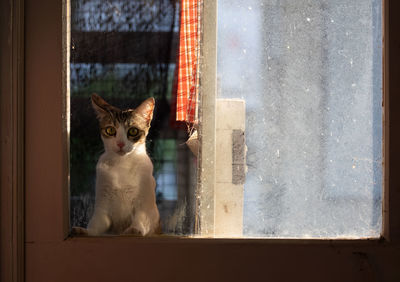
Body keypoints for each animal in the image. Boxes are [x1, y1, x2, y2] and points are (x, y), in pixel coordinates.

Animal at [72, 94, 160, 236]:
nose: (120, 144)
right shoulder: (102, 206)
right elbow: (96, 225)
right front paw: (84, 231)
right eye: (110, 130)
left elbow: (141, 220)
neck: (122, 165)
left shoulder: (146, 207)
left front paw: (133, 230)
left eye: (133, 131)